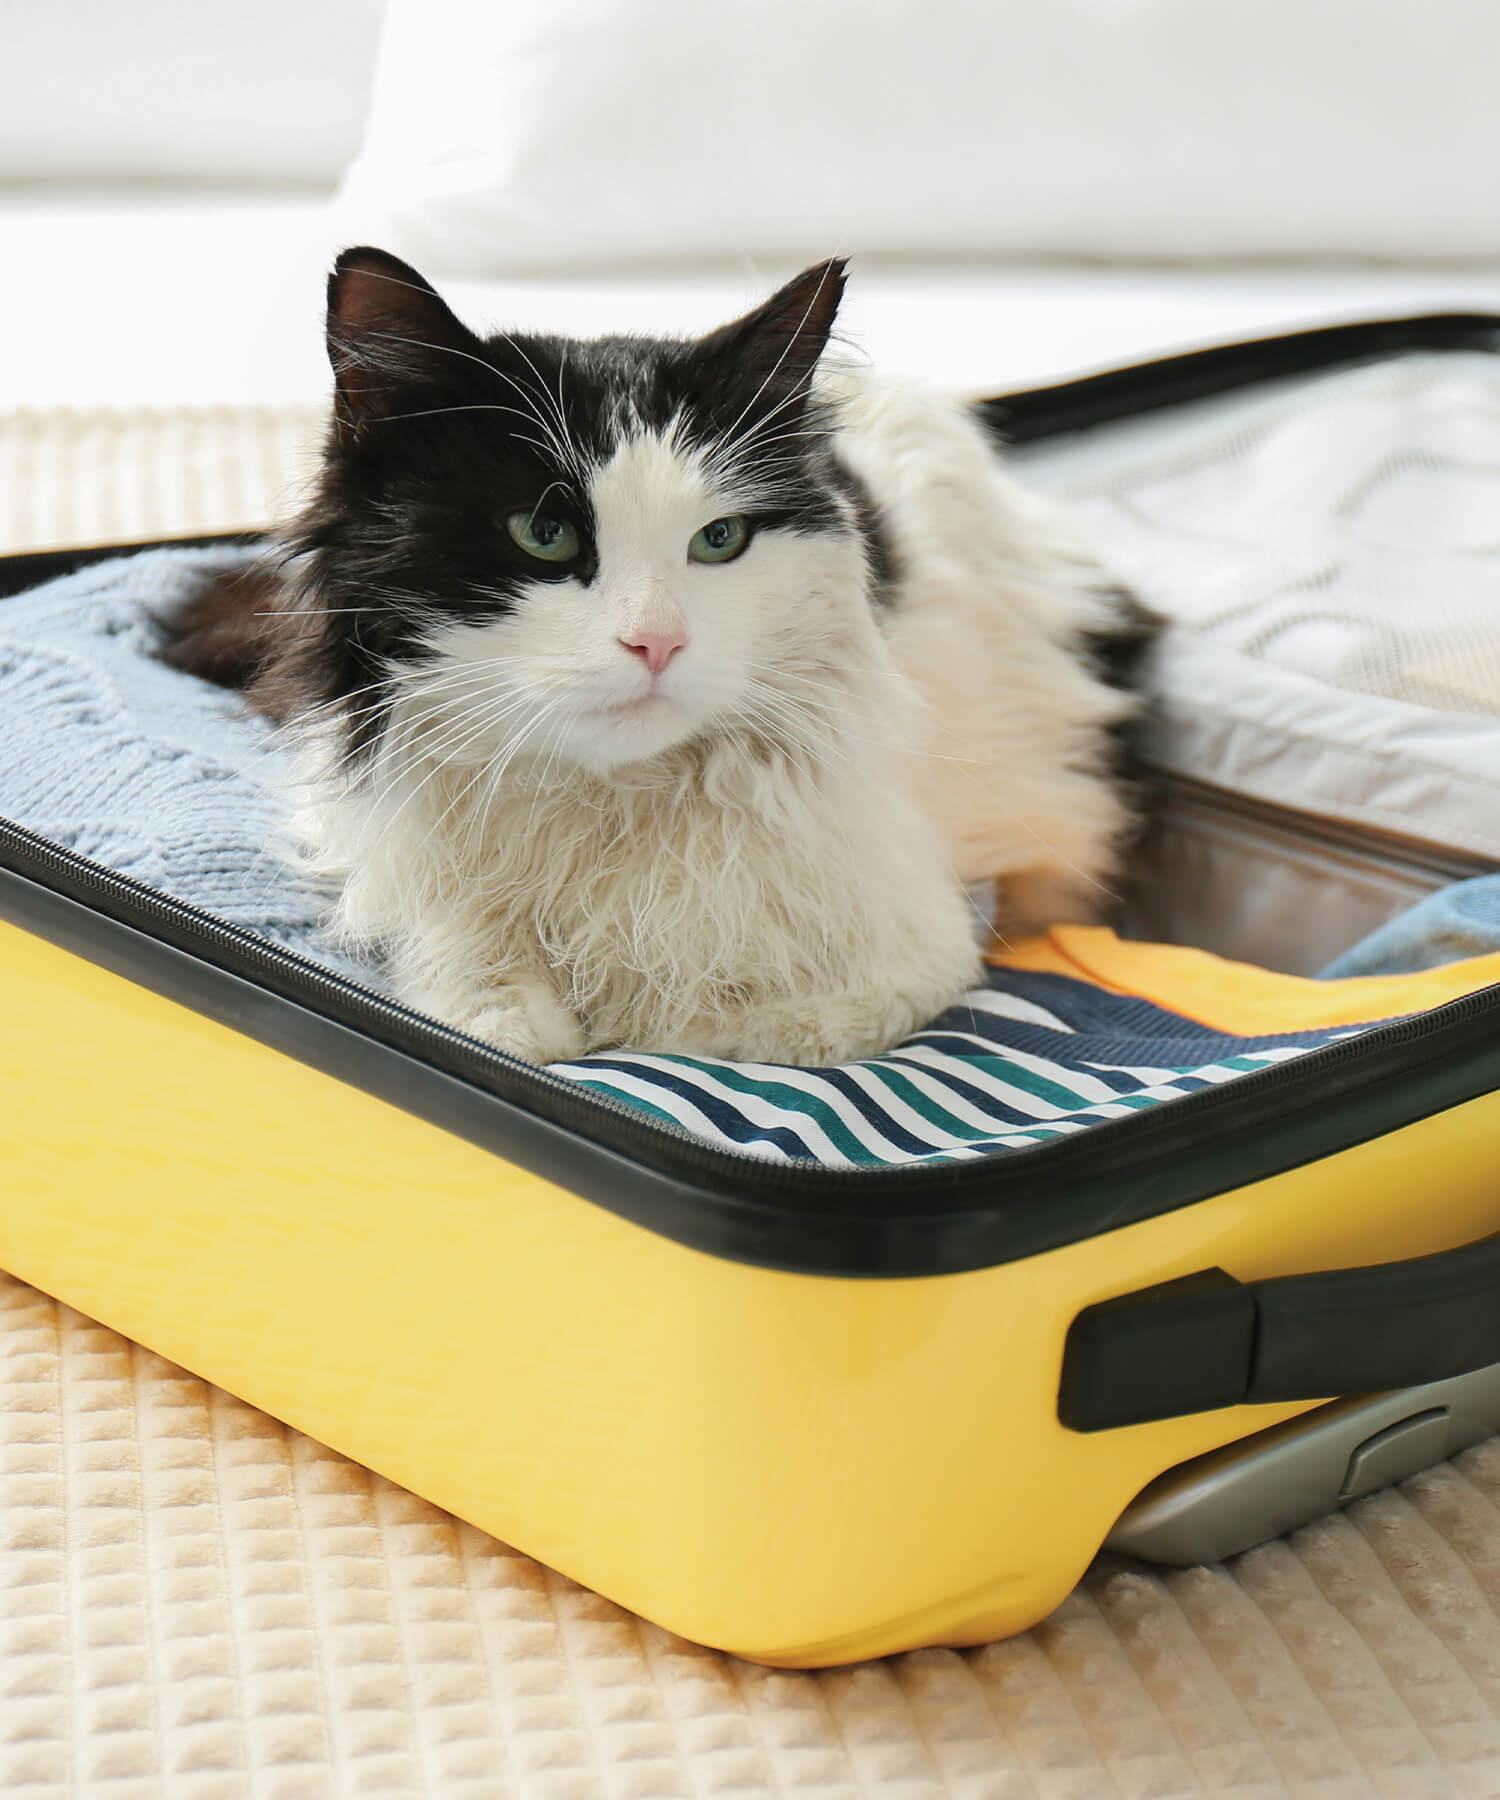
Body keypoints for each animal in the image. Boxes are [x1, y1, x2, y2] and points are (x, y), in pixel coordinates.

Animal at [163, 253, 1138, 1065]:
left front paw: (656, 1024)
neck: (612, 801)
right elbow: (477, 986)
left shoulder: (923, 939)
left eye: (720, 540)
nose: (657, 641)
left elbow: (746, 1032)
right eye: (544, 533)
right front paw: (526, 1017)